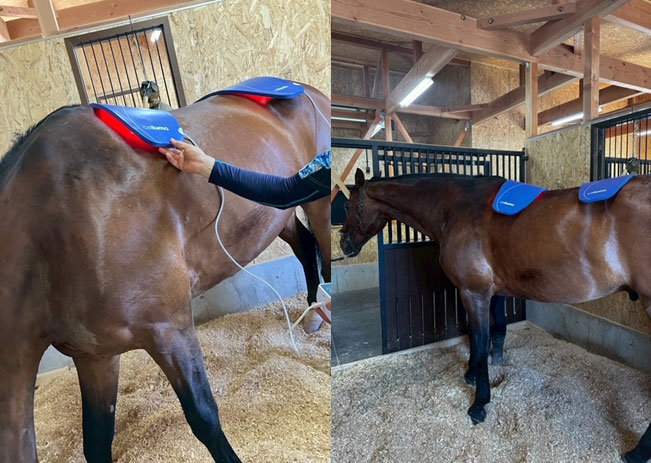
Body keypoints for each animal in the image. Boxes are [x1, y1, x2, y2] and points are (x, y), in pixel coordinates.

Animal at [0, 84, 330, 463]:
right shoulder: (95, 355)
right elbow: (96, 442)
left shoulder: (170, 331)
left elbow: (204, 417)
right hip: (279, 214)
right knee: (305, 245)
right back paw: (313, 312)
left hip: (318, 205)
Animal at [339, 168, 651, 463]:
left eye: (348, 205)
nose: (344, 245)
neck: (457, 208)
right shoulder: (492, 292)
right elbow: (490, 333)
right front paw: (474, 373)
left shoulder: (472, 292)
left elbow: (478, 341)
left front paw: (478, 404)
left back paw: (637, 451)